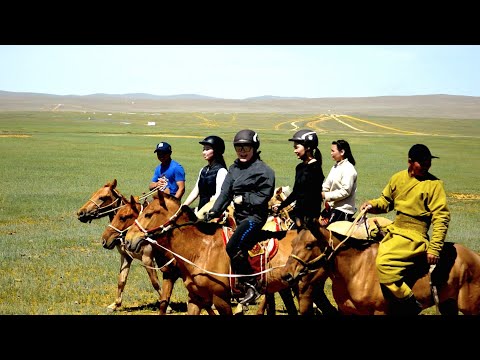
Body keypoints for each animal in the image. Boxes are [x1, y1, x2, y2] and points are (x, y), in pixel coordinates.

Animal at [75, 179, 180, 314]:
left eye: (102, 197)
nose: (81, 213)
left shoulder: (147, 258)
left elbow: (155, 282)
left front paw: (168, 307)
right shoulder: (125, 256)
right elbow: (121, 280)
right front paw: (115, 304)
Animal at [124, 191, 300, 316]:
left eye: (148, 214)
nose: (127, 239)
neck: (201, 249)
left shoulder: (221, 298)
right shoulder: (195, 297)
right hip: (285, 287)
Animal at [284, 217, 480, 316]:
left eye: (309, 245)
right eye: (292, 243)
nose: (287, 275)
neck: (355, 269)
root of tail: (475, 256)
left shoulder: (380, 312)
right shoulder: (348, 312)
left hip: (470, 308)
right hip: (448, 304)